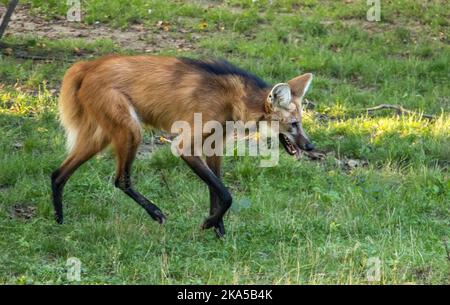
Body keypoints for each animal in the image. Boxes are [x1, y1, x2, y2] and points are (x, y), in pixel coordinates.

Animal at [51, 55, 312, 238]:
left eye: (300, 122)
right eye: (294, 124)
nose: (309, 145)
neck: (235, 101)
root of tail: (88, 65)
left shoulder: (214, 146)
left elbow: (215, 190)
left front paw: (218, 231)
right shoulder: (184, 146)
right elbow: (225, 194)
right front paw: (209, 224)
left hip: (103, 136)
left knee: (58, 173)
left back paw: (59, 221)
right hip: (131, 130)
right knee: (120, 180)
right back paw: (156, 213)